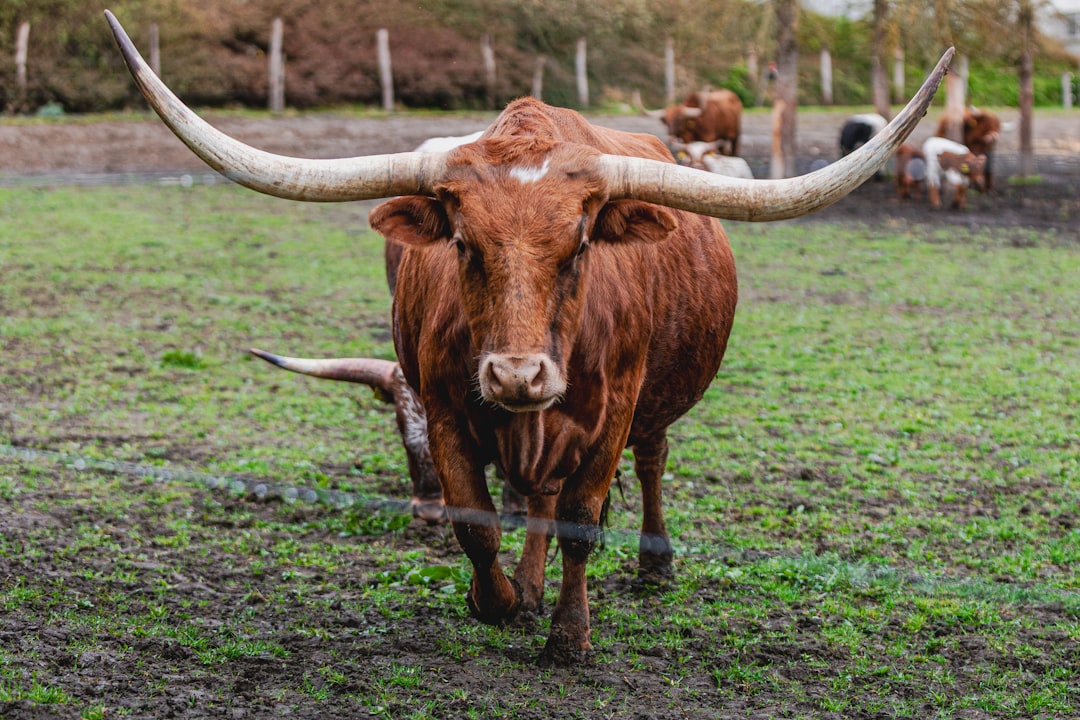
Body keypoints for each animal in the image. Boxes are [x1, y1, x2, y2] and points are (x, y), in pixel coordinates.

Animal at [106, 9, 951, 666]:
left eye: (578, 246)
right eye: (463, 244)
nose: (519, 377)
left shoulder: (610, 409)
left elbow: (580, 519)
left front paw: (570, 638)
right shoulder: (447, 407)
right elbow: (479, 523)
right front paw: (503, 601)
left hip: (650, 403)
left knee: (650, 463)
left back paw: (653, 563)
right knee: (537, 495)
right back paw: (534, 584)